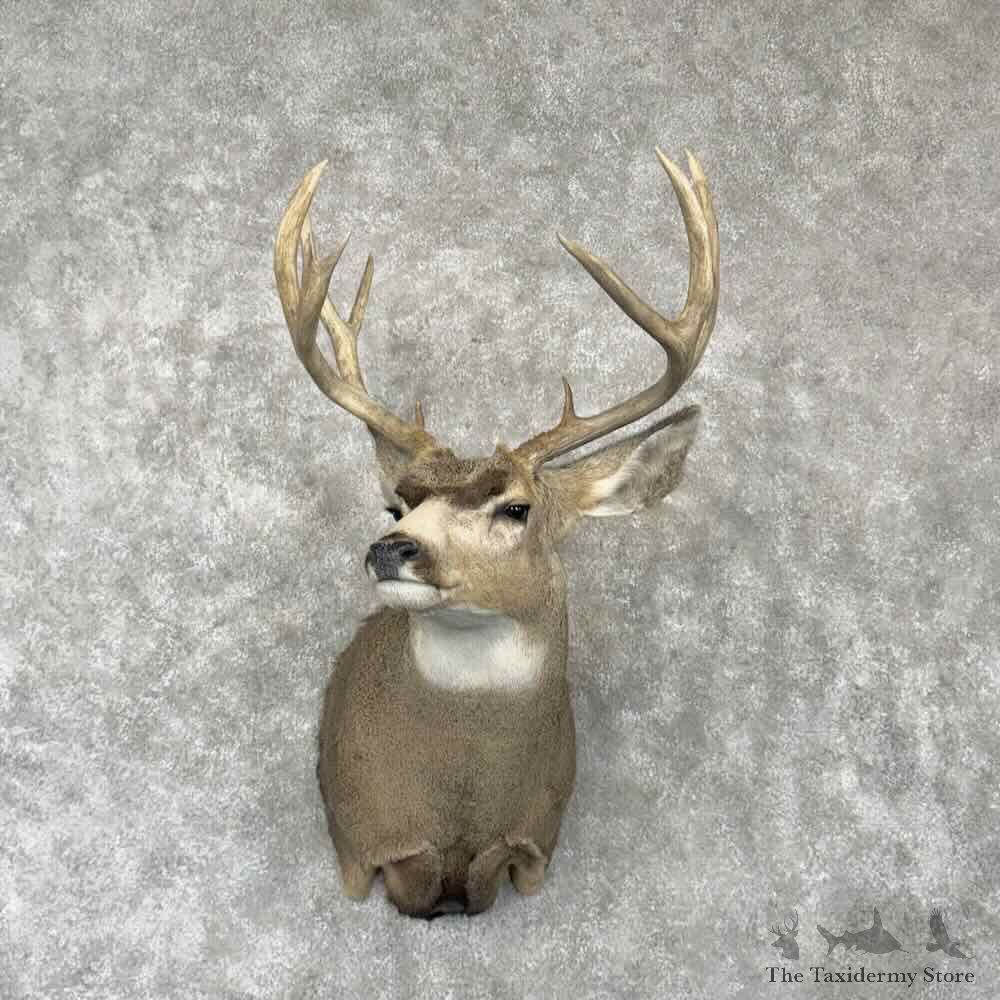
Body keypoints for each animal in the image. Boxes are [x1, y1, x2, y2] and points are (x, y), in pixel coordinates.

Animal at [273, 147, 719, 919]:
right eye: (396, 507)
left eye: (515, 508)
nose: (391, 549)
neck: (461, 810)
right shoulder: (365, 843)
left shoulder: (533, 842)